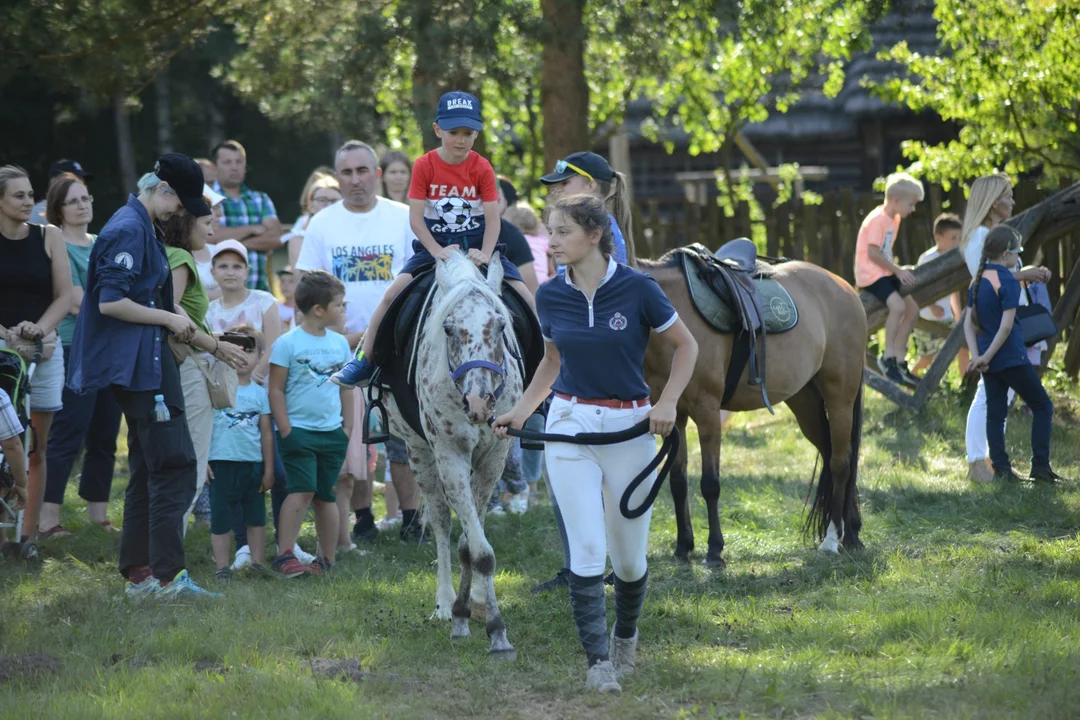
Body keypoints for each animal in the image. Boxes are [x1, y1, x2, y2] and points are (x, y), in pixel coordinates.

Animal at [386, 250, 524, 660]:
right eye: (448, 330)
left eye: (500, 325)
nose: (479, 403)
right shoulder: (450, 458)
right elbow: (474, 549)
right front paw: (492, 631)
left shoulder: (494, 458)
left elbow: (472, 544)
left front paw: (475, 609)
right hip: (420, 455)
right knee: (441, 522)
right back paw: (445, 602)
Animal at [639, 253, 868, 569]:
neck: (676, 319)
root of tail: (846, 289)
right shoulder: (673, 418)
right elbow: (678, 482)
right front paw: (683, 547)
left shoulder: (707, 411)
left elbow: (710, 484)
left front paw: (715, 551)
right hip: (806, 404)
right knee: (834, 455)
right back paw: (853, 533)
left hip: (840, 400)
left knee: (841, 463)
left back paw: (833, 539)